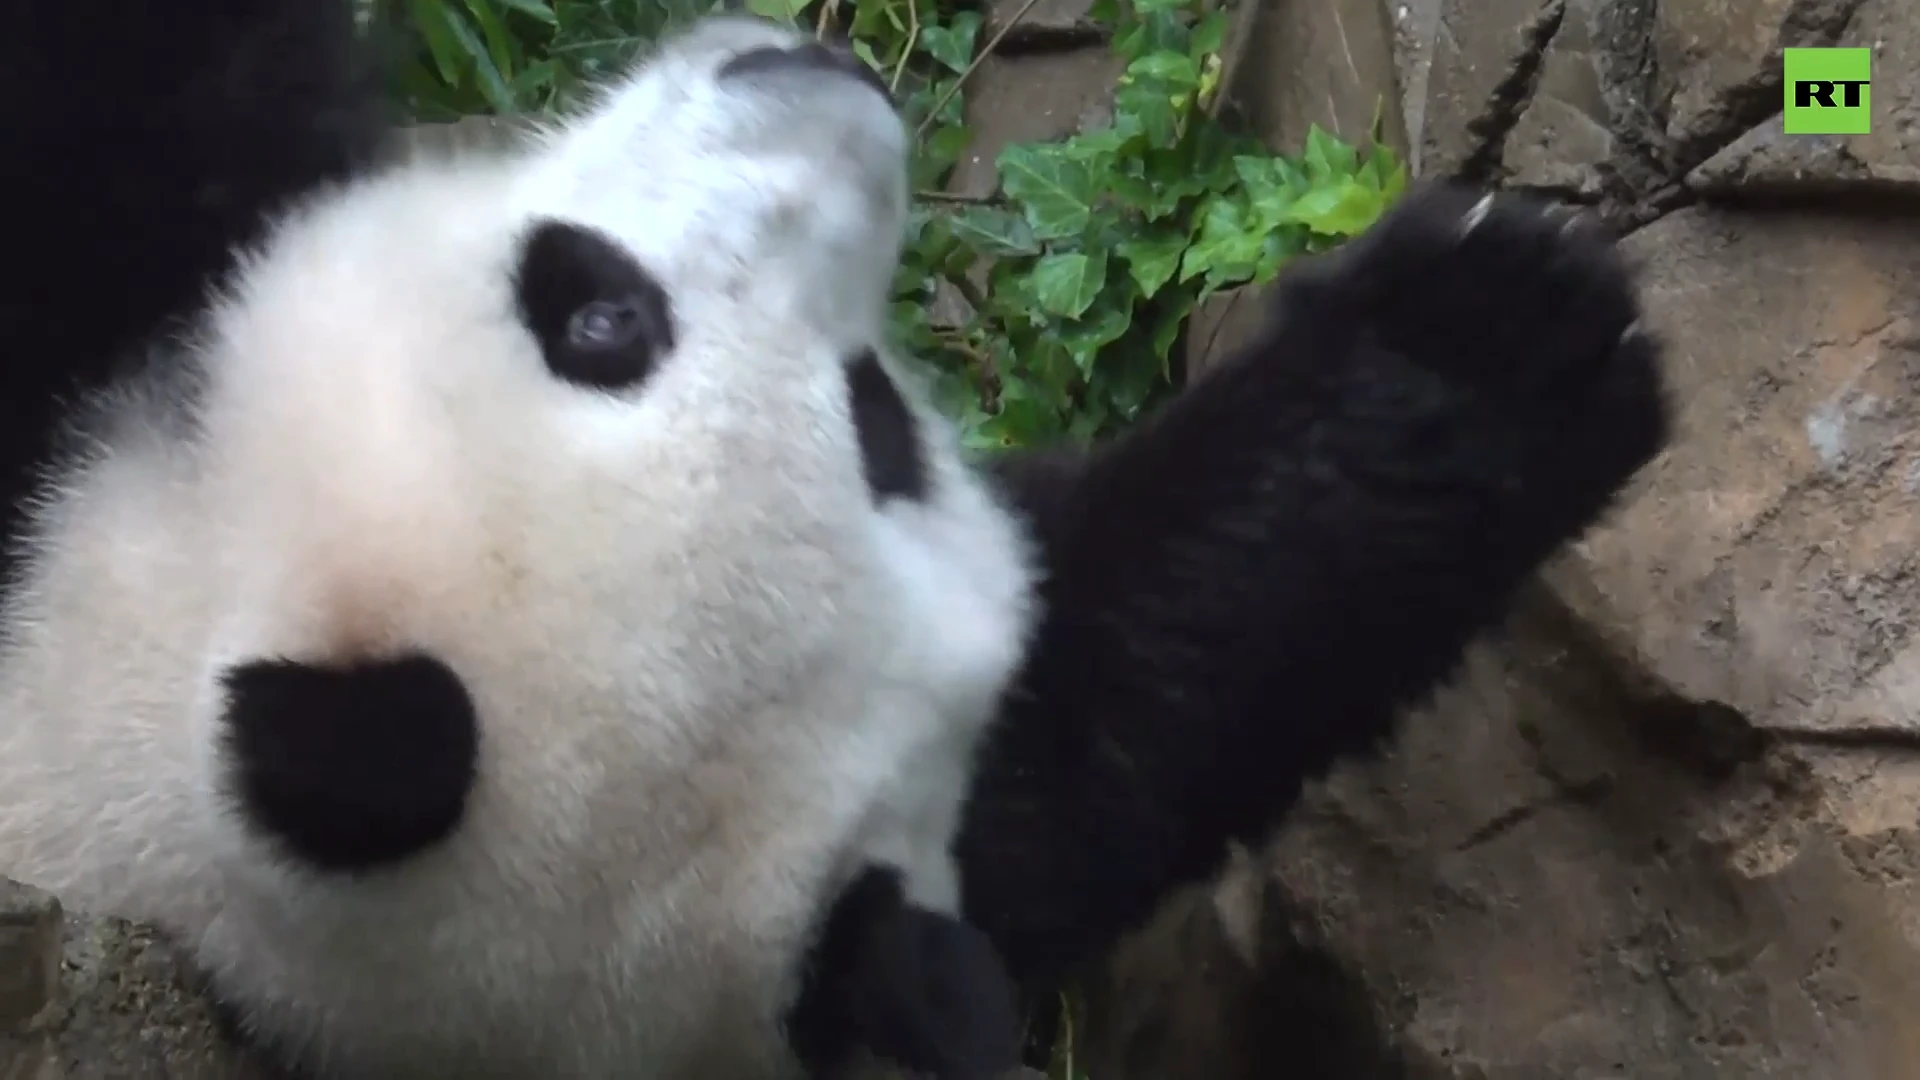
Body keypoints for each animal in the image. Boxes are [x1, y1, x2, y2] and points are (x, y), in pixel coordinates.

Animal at [0, 2, 1666, 1076]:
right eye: (603, 318)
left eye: (879, 426)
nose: (828, 99)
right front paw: (1511, 320)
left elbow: (1119, 682)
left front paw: (1485, 343)